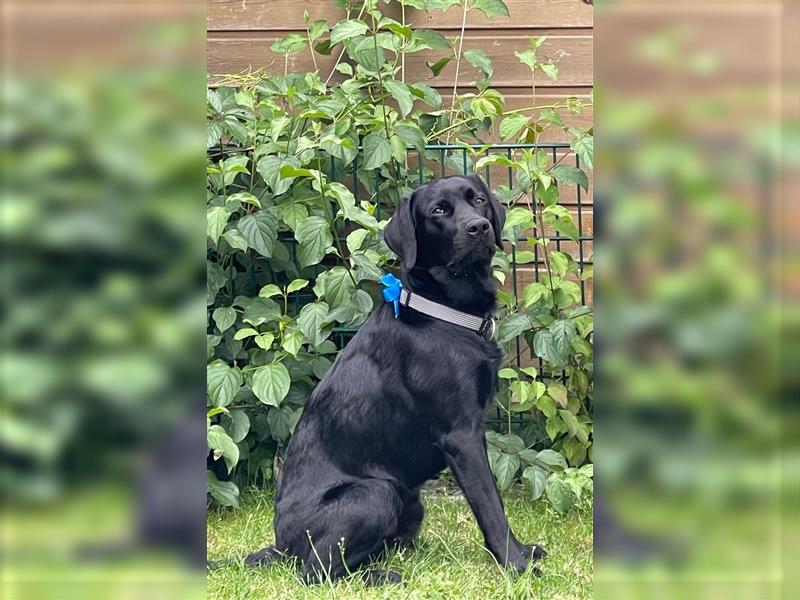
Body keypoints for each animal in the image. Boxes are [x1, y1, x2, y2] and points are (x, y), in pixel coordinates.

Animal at [234, 176, 544, 584]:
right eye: (439, 211)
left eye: (478, 200)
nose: (479, 227)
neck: (443, 312)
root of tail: (280, 546)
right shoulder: (460, 434)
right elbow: (491, 506)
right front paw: (516, 564)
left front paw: (523, 553)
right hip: (376, 493)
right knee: (316, 570)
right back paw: (383, 577)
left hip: (410, 501)